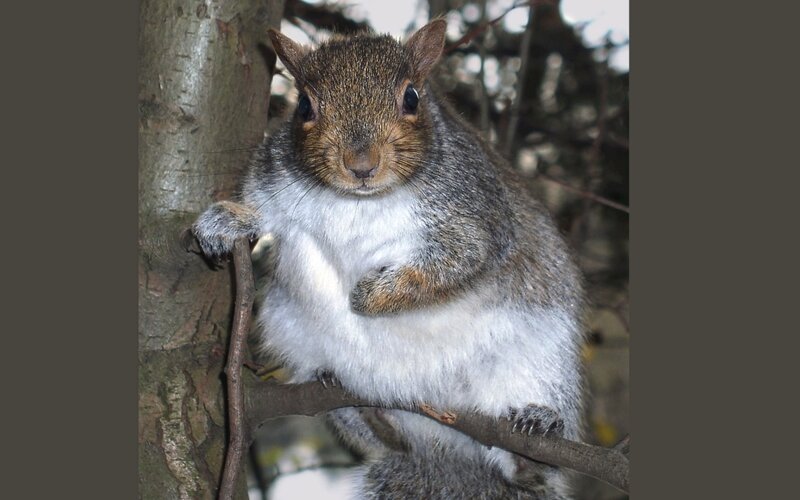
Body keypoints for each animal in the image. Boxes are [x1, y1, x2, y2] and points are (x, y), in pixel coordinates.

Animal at [193, 20, 585, 499]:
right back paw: (368, 413)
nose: (361, 164)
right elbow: (260, 211)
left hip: (541, 360)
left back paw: (534, 436)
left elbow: (456, 260)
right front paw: (226, 221)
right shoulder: (274, 183)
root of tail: (446, 448)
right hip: (296, 340)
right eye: (304, 106)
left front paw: (367, 295)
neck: (359, 200)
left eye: (412, 98)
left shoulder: (475, 215)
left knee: (530, 467)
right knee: (389, 438)